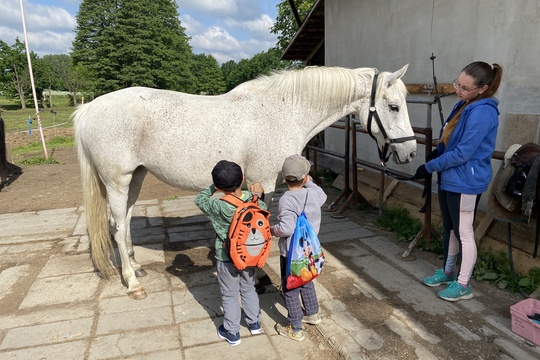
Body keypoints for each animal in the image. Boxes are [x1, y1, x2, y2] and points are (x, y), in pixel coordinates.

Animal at [73, 64, 418, 298]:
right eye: (393, 107)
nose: (411, 152)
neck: (284, 110)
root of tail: (90, 108)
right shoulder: (264, 181)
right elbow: (262, 228)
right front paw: (260, 276)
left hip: (136, 177)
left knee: (124, 221)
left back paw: (135, 266)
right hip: (117, 181)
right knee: (118, 228)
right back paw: (132, 283)